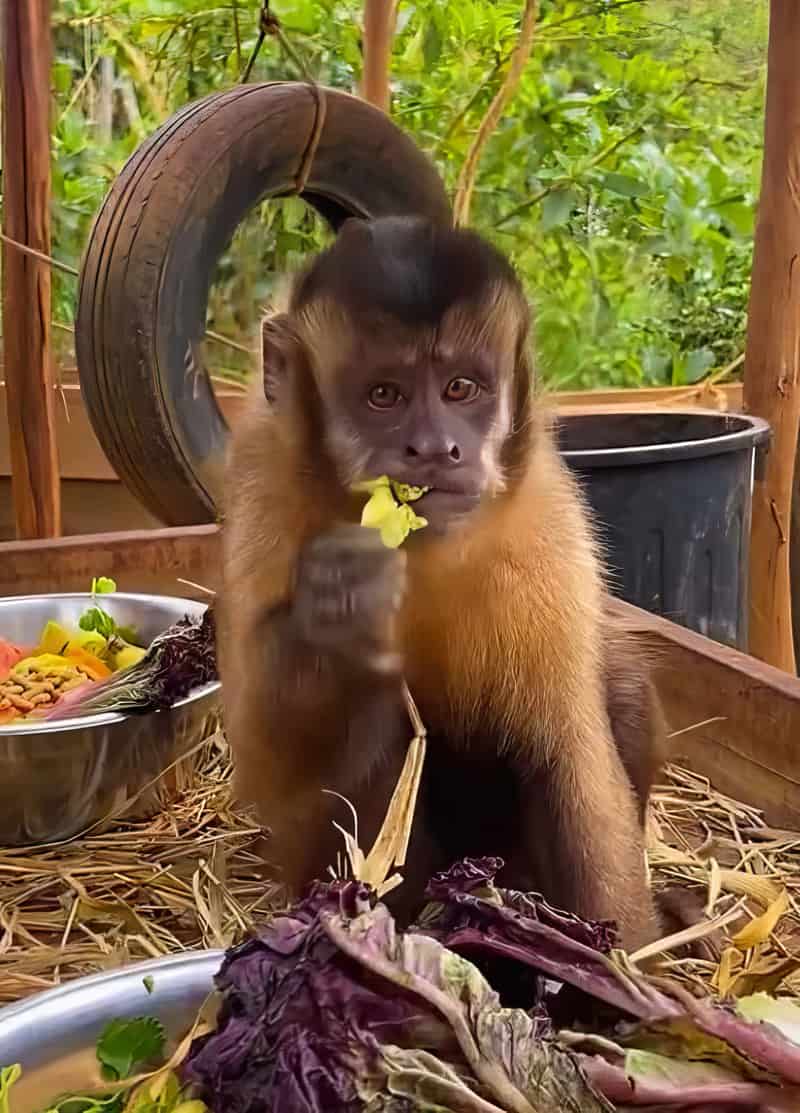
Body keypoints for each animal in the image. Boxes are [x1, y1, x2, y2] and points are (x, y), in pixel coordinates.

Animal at [219, 214, 669, 951]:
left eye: (461, 388)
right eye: (384, 395)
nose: (434, 448)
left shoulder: (545, 517)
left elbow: (567, 751)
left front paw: (622, 966)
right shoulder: (262, 478)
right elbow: (265, 756)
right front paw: (337, 606)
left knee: (620, 682)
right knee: (377, 721)